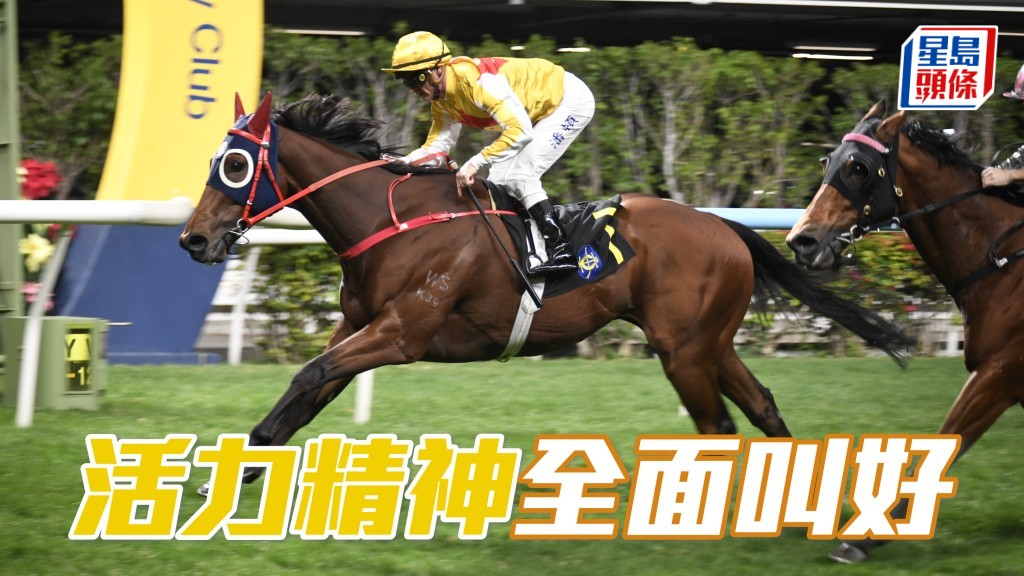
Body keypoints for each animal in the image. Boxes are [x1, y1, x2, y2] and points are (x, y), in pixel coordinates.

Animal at [180, 92, 912, 492]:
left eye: (235, 164)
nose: (193, 239)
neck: (391, 222)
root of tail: (724, 225)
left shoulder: (401, 332)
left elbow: (309, 373)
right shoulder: (358, 327)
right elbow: (307, 391)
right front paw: (238, 469)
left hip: (685, 351)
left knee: (719, 426)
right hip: (706, 343)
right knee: (760, 407)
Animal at [787, 100, 1024, 563]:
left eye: (859, 168)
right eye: (828, 162)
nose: (801, 241)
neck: (1003, 264)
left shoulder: (1000, 374)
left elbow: (944, 445)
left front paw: (863, 537)